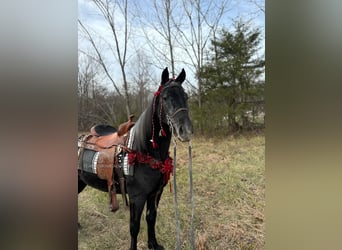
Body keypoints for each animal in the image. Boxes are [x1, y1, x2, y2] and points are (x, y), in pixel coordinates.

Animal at [78, 67, 194, 249]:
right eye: (165, 98)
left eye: (186, 96)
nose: (186, 130)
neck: (143, 151)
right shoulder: (137, 197)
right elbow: (134, 227)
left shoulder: (155, 193)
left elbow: (151, 218)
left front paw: (153, 244)